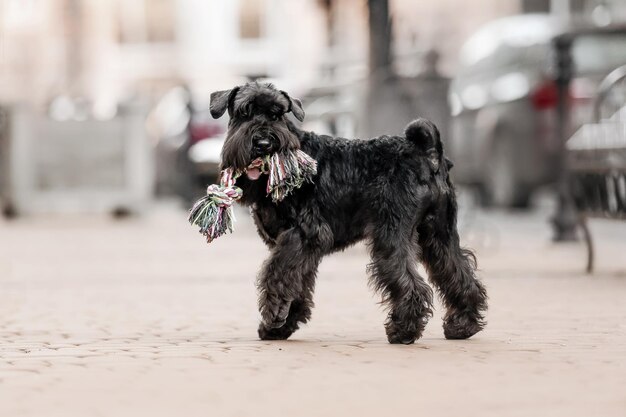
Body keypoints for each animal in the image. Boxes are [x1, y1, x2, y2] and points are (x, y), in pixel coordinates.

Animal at [210, 82, 488, 344]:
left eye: (277, 114)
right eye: (245, 112)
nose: (264, 143)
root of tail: (426, 153)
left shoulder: (303, 236)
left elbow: (277, 275)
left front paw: (274, 315)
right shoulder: (303, 247)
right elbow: (296, 282)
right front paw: (281, 326)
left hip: (391, 235)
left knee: (411, 283)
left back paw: (403, 331)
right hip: (438, 234)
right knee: (458, 272)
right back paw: (462, 325)